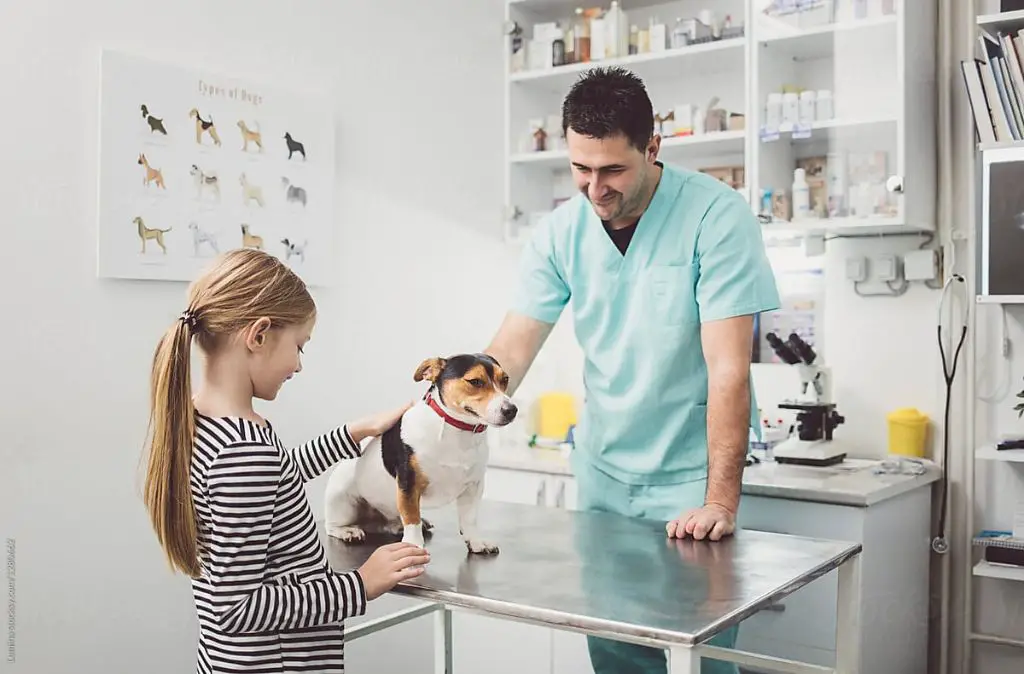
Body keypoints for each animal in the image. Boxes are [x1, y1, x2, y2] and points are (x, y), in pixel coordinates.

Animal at [323, 352, 516, 553]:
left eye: (505, 379)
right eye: (475, 381)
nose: (512, 410)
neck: (457, 432)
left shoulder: (473, 487)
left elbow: (469, 519)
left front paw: (476, 542)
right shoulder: (409, 483)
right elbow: (411, 517)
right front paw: (413, 544)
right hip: (341, 499)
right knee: (331, 525)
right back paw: (347, 531)